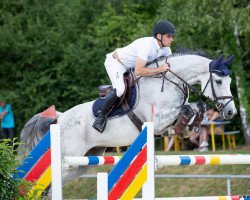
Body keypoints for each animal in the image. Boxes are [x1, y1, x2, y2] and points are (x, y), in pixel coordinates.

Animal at [19, 50, 236, 191]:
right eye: (218, 81)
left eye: (230, 81)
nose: (231, 112)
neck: (170, 81)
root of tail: (60, 118)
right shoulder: (157, 120)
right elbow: (186, 108)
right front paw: (184, 127)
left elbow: (196, 107)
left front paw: (187, 128)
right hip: (68, 158)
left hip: (84, 162)